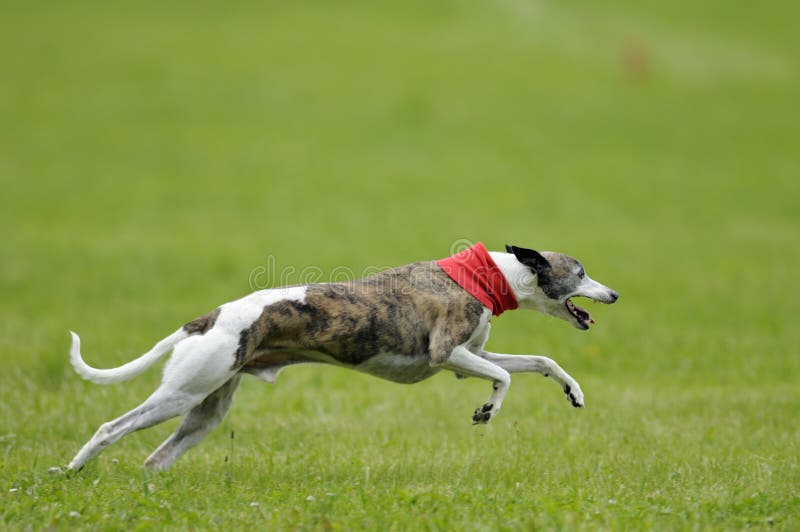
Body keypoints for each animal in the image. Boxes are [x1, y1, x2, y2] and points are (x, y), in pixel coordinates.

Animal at [67, 242, 620, 470]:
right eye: (581, 272)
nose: (614, 294)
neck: (490, 276)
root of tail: (210, 317)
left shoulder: (469, 357)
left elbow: (542, 362)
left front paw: (573, 391)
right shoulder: (447, 353)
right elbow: (504, 381)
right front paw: (488, 410)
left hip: (206, 409)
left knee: (155, 458)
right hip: (182, 393)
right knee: (110, 428)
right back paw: (69, 473)